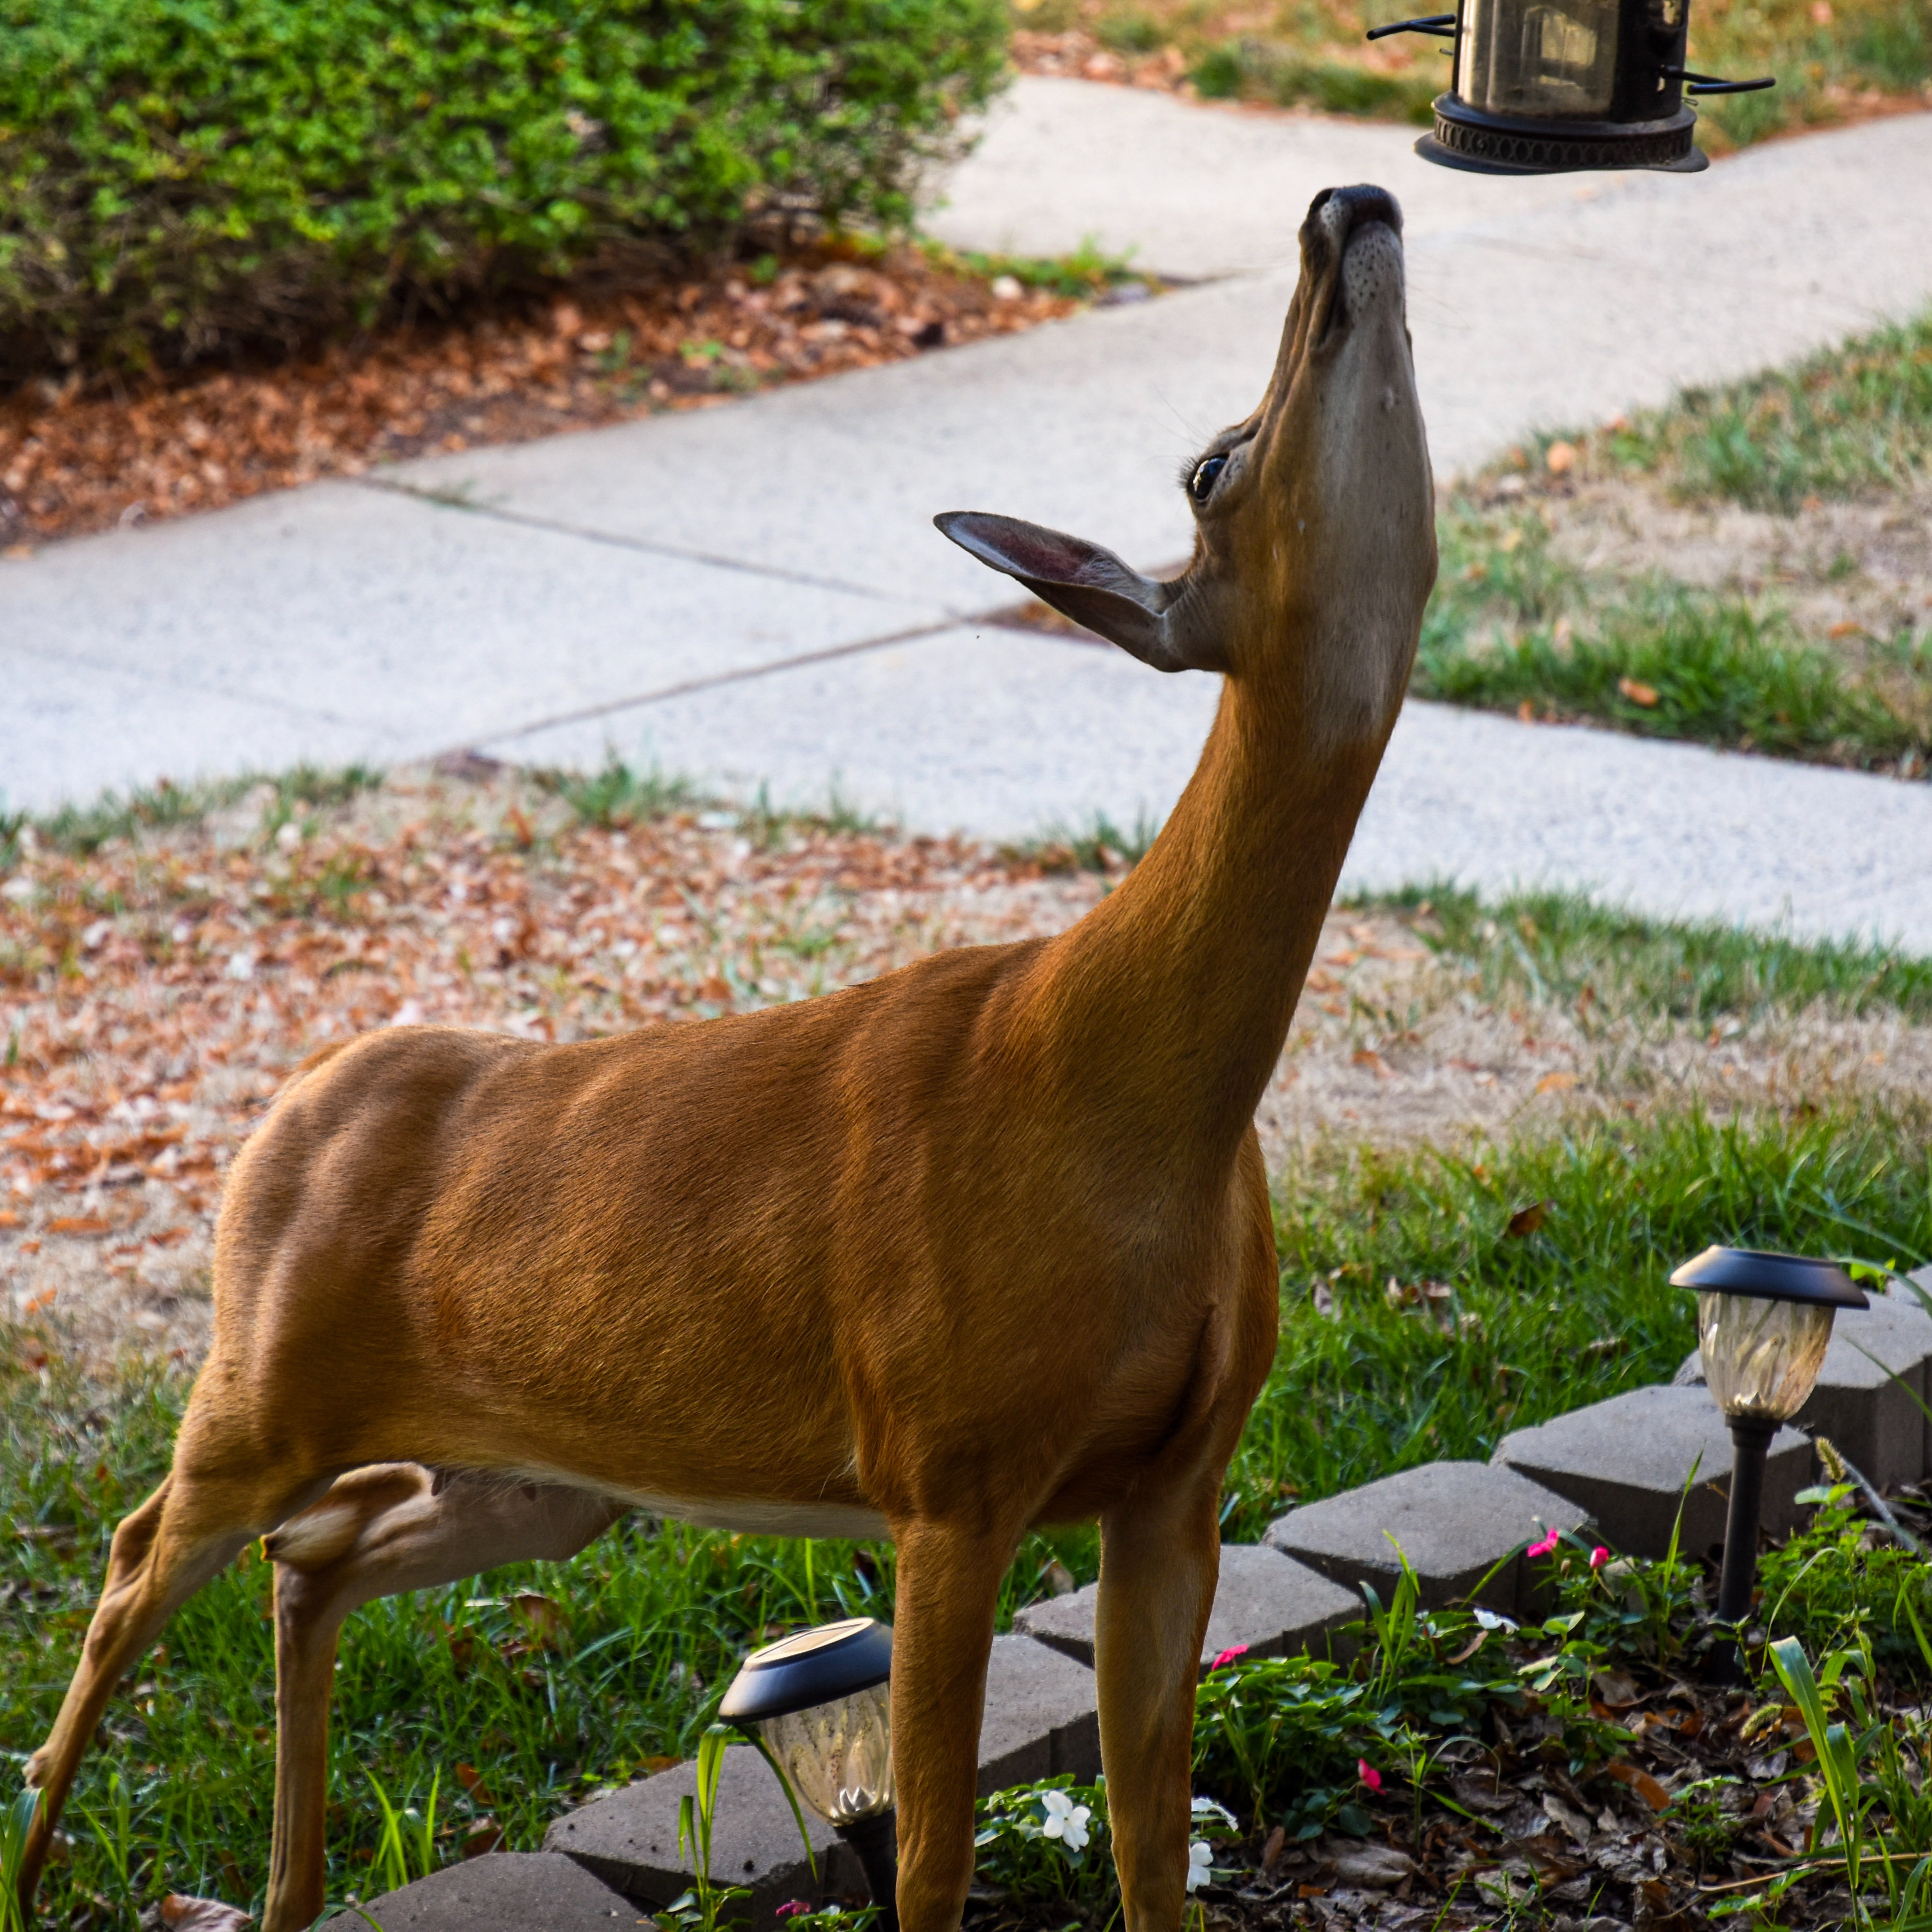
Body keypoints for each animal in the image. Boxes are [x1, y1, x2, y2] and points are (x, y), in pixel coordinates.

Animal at [20, 182, 1435, 1932]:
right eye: (1207, 465)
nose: (1341, 205)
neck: (1124, 1092)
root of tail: (278, 1116)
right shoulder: (942, 1467)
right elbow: (930, 1863)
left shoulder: (1176, 1480)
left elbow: (1150, 1848)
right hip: (257, 1391)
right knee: (129, 1564)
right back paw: (41, 1864)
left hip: (538, 1477)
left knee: (322, 1553)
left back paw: (284, 1892)